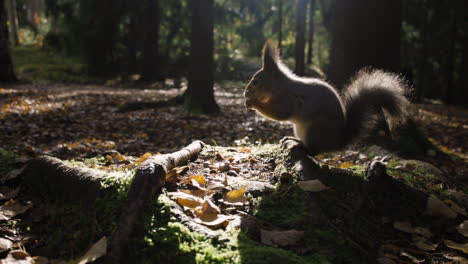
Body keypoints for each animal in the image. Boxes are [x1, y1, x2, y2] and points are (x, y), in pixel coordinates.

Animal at [245, 40, 410, 156]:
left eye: (256, 82)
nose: (245, 93)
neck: (280, 87)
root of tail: (336, 143)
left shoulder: (288, 100)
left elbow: (278, 113)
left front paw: (253, 103)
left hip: (315, 129)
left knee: (314, 152)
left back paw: (300, 145)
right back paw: (294, 140)